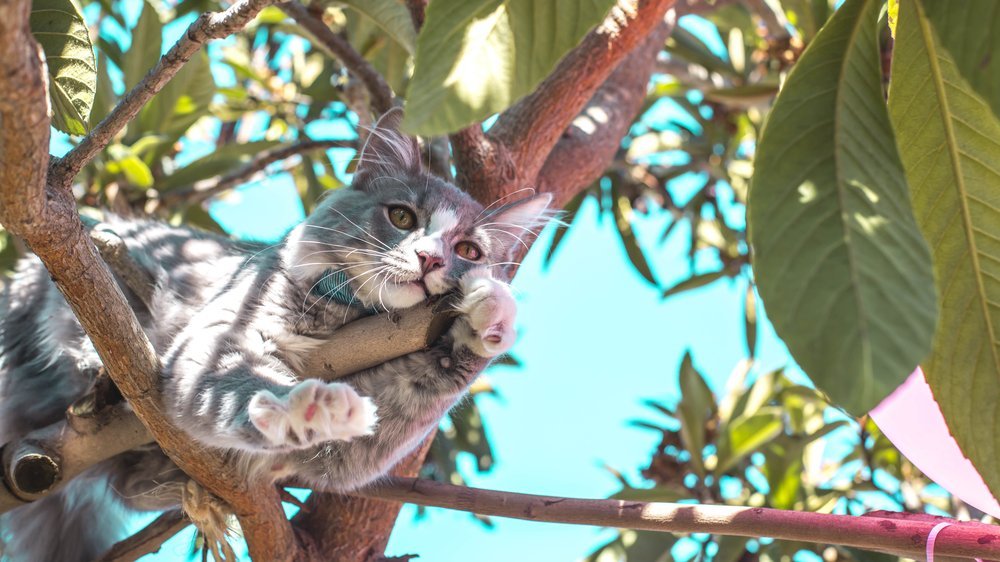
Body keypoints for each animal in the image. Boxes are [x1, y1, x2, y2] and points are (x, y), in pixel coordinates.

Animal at [0, 110, 552, 560]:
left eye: (469, 251)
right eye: (401, 216)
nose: (430, 259)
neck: (347, 317)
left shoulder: (361, 444)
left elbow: (434, 380)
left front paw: (488, 315)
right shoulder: (224, 335)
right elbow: (250, 385)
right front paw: (312, 406)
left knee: (132, 487)